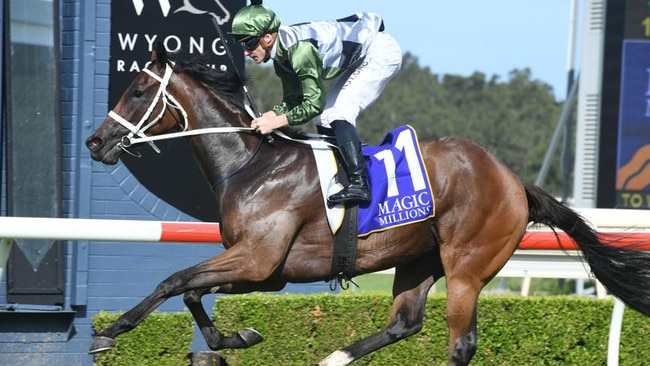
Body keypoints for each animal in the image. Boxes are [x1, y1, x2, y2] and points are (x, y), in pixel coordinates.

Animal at [86, 46, 648, 366]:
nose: (96, 142)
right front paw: (238, 336)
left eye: (138, 90)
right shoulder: (263, 271)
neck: (250, 164)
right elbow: (191, 292)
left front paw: (109, 333)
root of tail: (514, 181)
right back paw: (334, 356)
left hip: (466, 266)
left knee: (460, 344)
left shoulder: (258, 259)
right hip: (418, 259)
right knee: (405, 323)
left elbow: (173, 281)